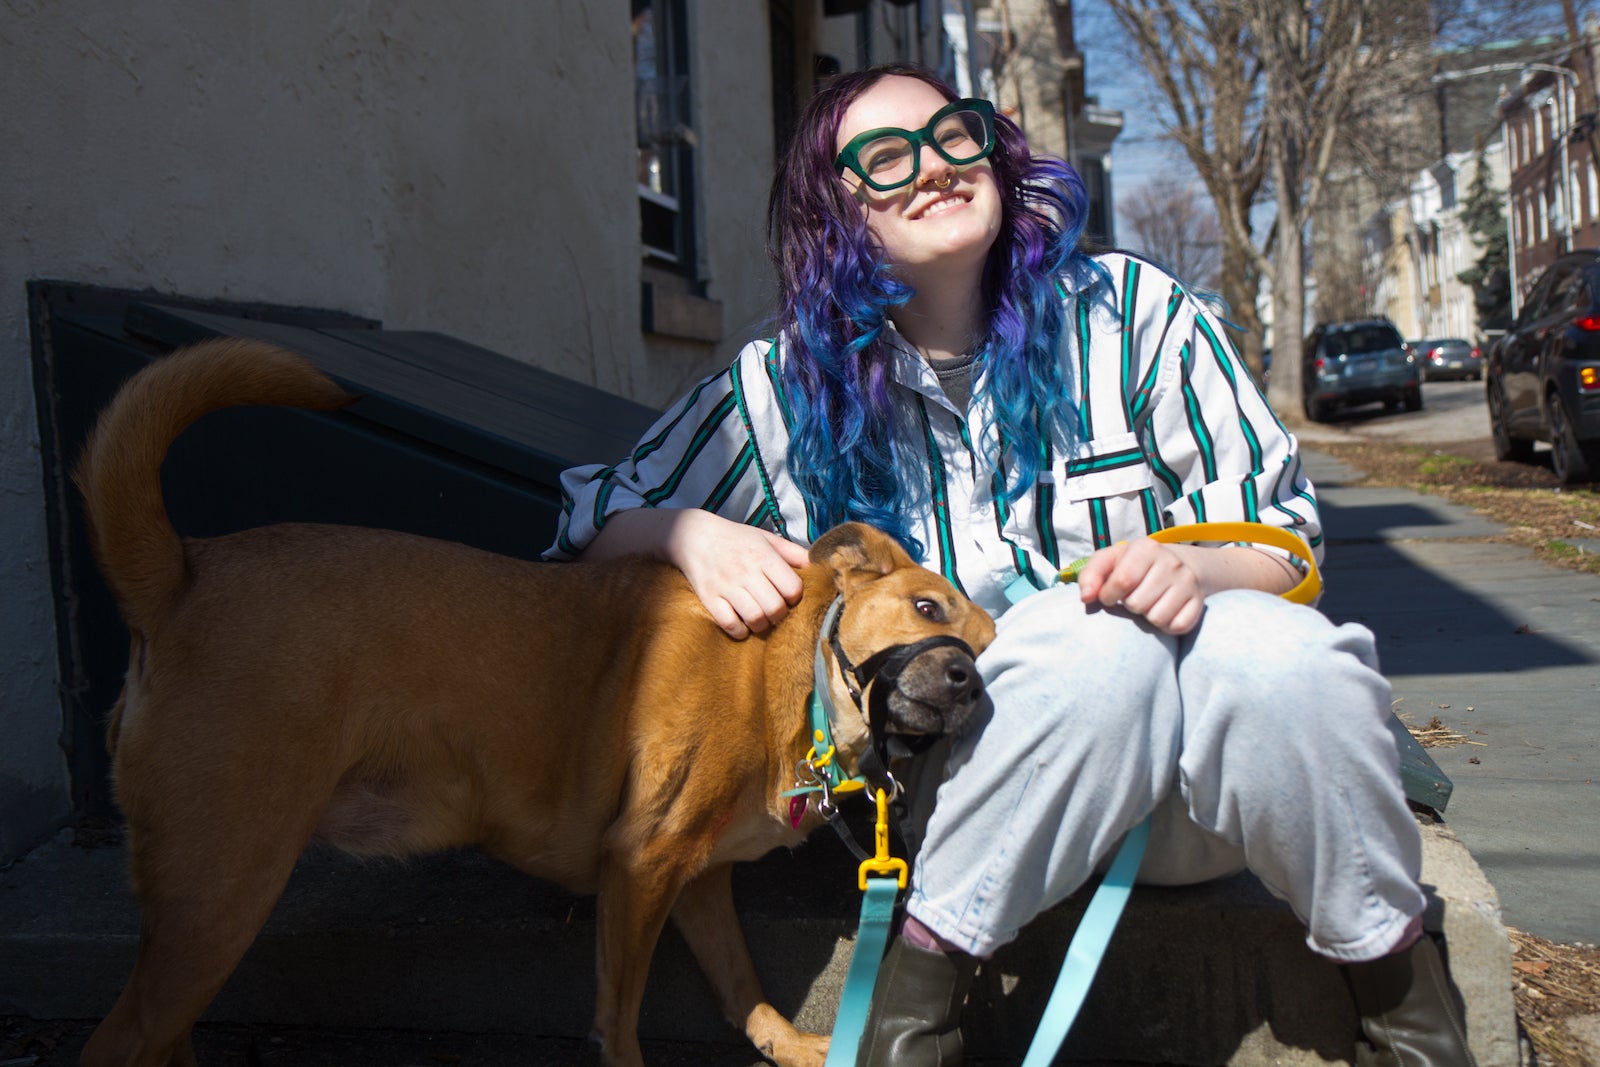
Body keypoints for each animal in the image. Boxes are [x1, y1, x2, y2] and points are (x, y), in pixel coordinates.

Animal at [78, 342, 998, 1067]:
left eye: (993, 647)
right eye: (925, 608)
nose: (969, 682)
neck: (791, 674)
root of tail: (183, 573)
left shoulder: (697, 880)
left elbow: (741, 981)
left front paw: (787, 1042)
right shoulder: (641, 865)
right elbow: (619, 1021)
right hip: (220, 895)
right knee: (119, 1042)